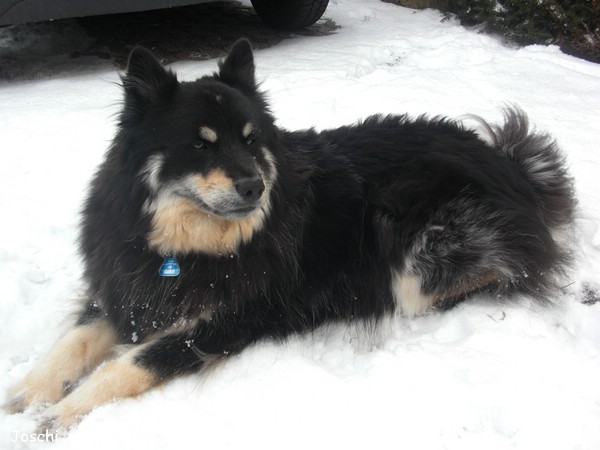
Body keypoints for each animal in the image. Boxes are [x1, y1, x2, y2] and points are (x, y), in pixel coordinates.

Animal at [4, 37, 576, 428]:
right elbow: (70, 345)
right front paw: (26, 394)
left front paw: (61, 415)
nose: (255, 187)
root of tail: (510, 165)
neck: (189, 246)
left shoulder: (228, 320)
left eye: (251, 140)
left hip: (416, 250)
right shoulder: (126, 287)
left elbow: (131, 364)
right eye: (201, 144)